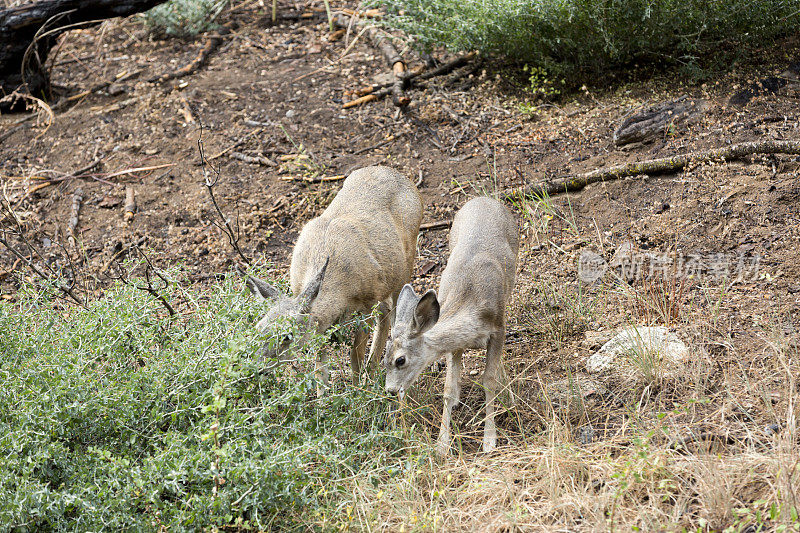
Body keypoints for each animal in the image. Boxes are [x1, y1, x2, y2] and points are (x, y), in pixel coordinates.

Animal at [241, 164, 422, 392]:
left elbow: (355, 354)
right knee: (386, 312)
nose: (257, 368)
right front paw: (323, 396)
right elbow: (320, 366)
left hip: (406, 265)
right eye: (257, 329)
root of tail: (399, 175)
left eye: (287, 336)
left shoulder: (366, 304)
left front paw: (356, 391)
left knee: (393, 313)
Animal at [382, 195, 520, 454]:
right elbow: (447, 390)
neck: (469, 305)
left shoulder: (498, 327)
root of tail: (484, 198)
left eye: (400, 360)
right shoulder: (456, 345)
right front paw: (442, 444)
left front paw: (489, 439)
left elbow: (488, 381)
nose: (391, 391)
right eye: (384, 356)